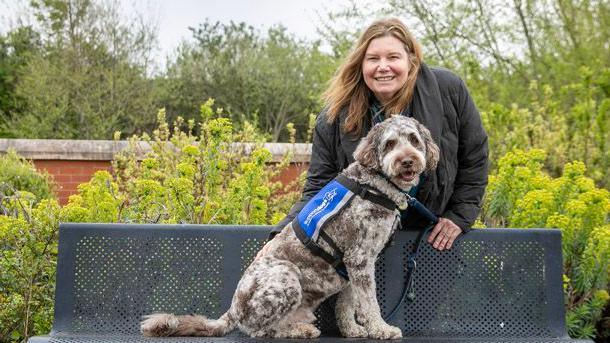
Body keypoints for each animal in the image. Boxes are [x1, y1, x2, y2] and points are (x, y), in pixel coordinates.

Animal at [141, 116, 440, 342]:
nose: (407, 160)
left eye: (413, 140)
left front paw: (353, 330)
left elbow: (347, 303)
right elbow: (368, 301)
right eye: (390, 144)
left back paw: (299, 327)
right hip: (285, 277)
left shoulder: (351, 266)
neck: (375, 183)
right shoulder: (359, 258)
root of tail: (232, 311)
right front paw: (381, 329)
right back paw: (299, 331)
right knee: (259, 331)